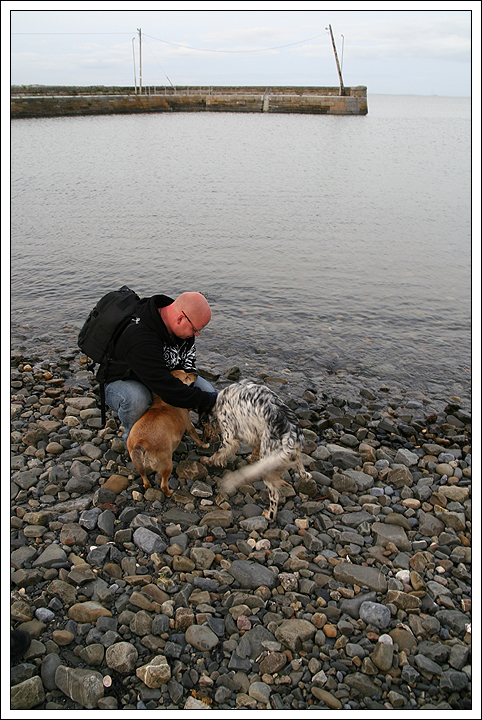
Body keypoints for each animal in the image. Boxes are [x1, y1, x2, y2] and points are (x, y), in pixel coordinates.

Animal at [200, 380, 312, 520]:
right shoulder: (257, 433)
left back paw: (269, 515)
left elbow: (217, 454)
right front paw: (251, 458)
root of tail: (291, 437)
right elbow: (254, 449)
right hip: (293, 458)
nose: (205, 439)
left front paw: (207, 460)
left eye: (203, 424)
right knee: (303, 472)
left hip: (267, 465)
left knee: (274, 497)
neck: (218, 400)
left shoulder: (229, 437)